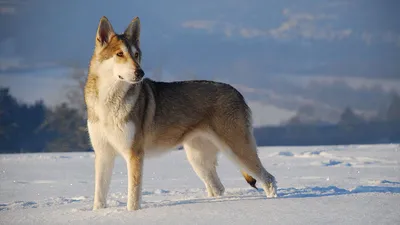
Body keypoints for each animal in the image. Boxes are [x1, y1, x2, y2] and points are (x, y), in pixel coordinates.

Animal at [84, 15, 278, 211]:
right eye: (120, 54)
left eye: (136, 55)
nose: (141, 72)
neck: (108, 100)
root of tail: (238, 93)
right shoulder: (103, 154)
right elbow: (99, 197)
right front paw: (97, 213)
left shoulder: (134, 154)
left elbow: (133, 198)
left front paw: (132, 214)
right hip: (198, 160)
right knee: (219, 188)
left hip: (235, 150)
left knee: (269, 179)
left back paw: (272, 202)